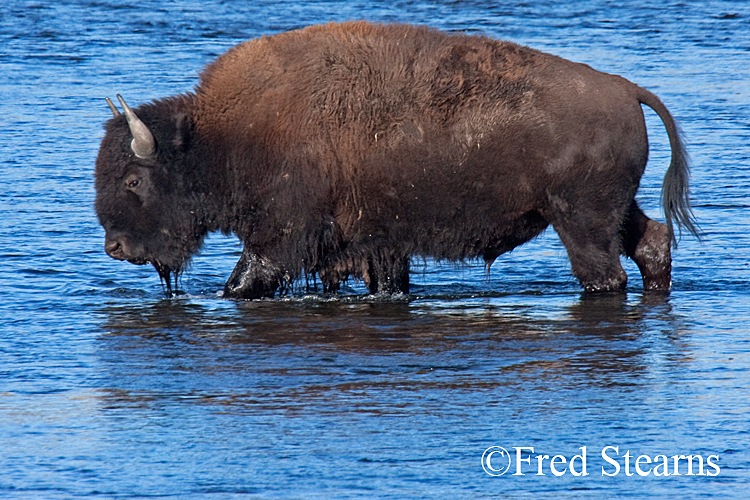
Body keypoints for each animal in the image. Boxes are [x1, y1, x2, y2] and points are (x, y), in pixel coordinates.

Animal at [94, 21, 700, 298]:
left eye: (133, 180)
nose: (115, 247)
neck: (223, 134)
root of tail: (625, 89)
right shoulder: (371, 245)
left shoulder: (280, 237)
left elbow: (244, 280)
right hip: (610, 210)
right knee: (650, 241)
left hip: (579, 220)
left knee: (605, 272)